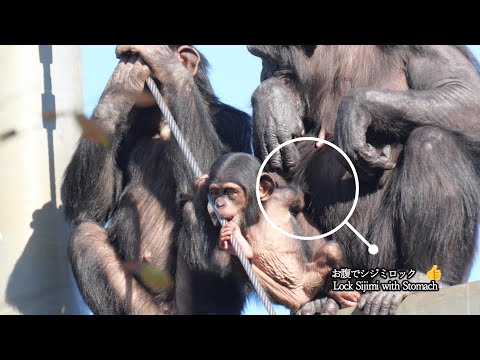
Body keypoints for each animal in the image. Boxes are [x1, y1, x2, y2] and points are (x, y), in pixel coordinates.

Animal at [61, 45, 253, 316]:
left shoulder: (234, 123)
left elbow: (222, 180)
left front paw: (168, 66)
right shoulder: (127, 132)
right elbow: (91, 206)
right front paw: (121, 82)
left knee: (197, 211)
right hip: (141, 306)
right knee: (85, 237)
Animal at [248, 45, 480, 316]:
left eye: (268, 60)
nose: (265, 73)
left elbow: (463, 90)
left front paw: (355, 108)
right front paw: (272, 102)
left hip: (384, 257)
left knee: (432, 142)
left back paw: (420, 279)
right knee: (271, 177)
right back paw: (317, 300)